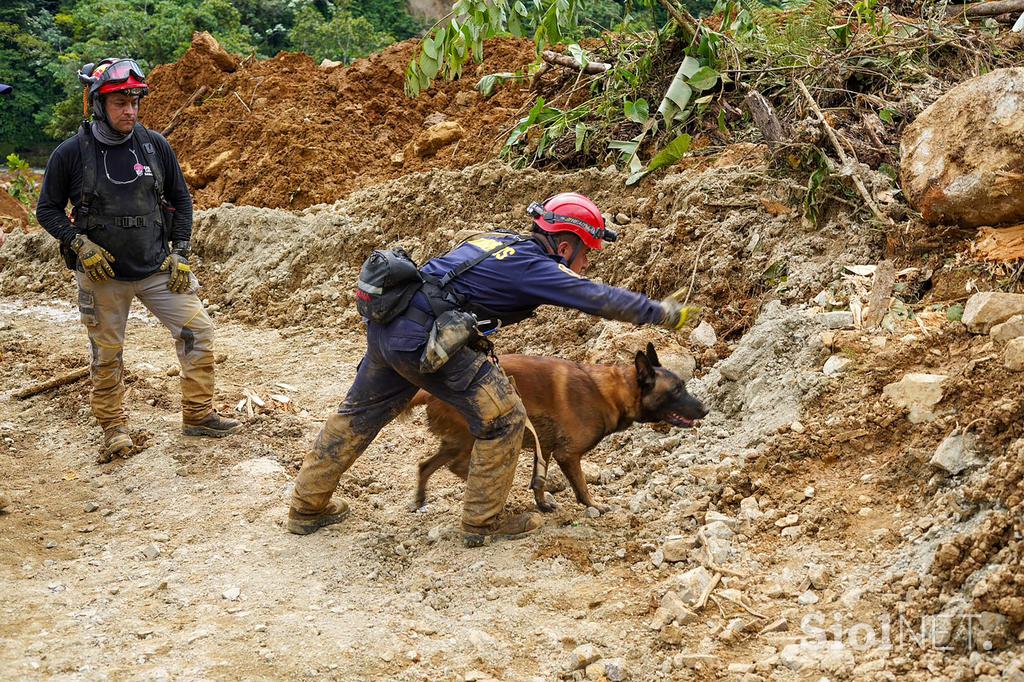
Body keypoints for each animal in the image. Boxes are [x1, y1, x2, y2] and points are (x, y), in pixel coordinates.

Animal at [407, 346, 704, 509]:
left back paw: (420, 498)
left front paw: (541, 503)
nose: (705, 409)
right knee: (459, 467)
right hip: (475, 437)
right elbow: (581, 486)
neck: (614, 391)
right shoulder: (568, 455)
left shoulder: (547, 448)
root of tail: (429, 391)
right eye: (677, 390)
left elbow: (539, 479)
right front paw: (594, 505)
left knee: (426, 465)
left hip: (455, 442)